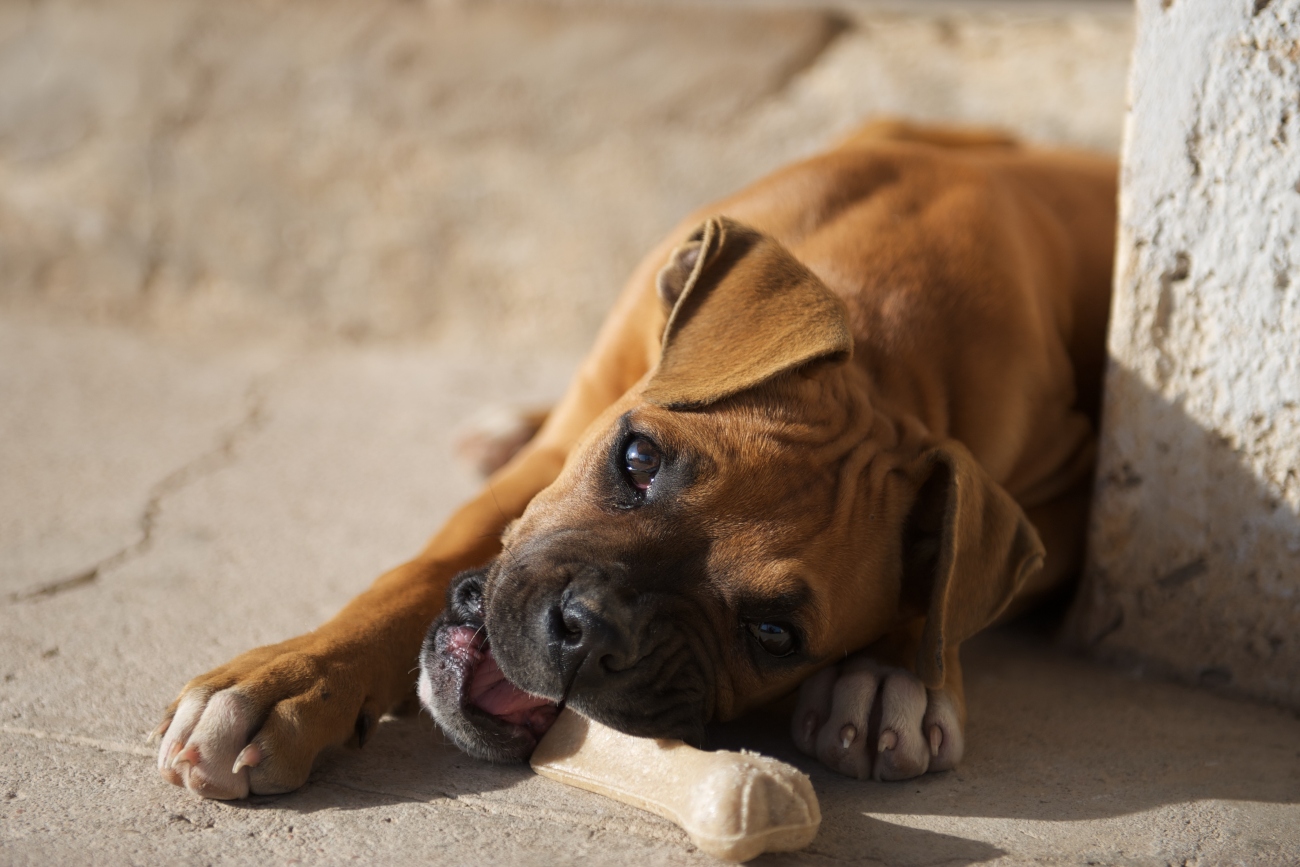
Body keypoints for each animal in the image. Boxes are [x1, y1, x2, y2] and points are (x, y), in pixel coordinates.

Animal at [154, 122, 1118, 800]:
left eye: (775, 634)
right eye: (638, 458)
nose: (590, 632)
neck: (889, 340)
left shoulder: (1069, 500)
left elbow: (945, 596)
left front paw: (891, 677)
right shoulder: (561, 451)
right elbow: (415, 572)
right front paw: (288, 679)